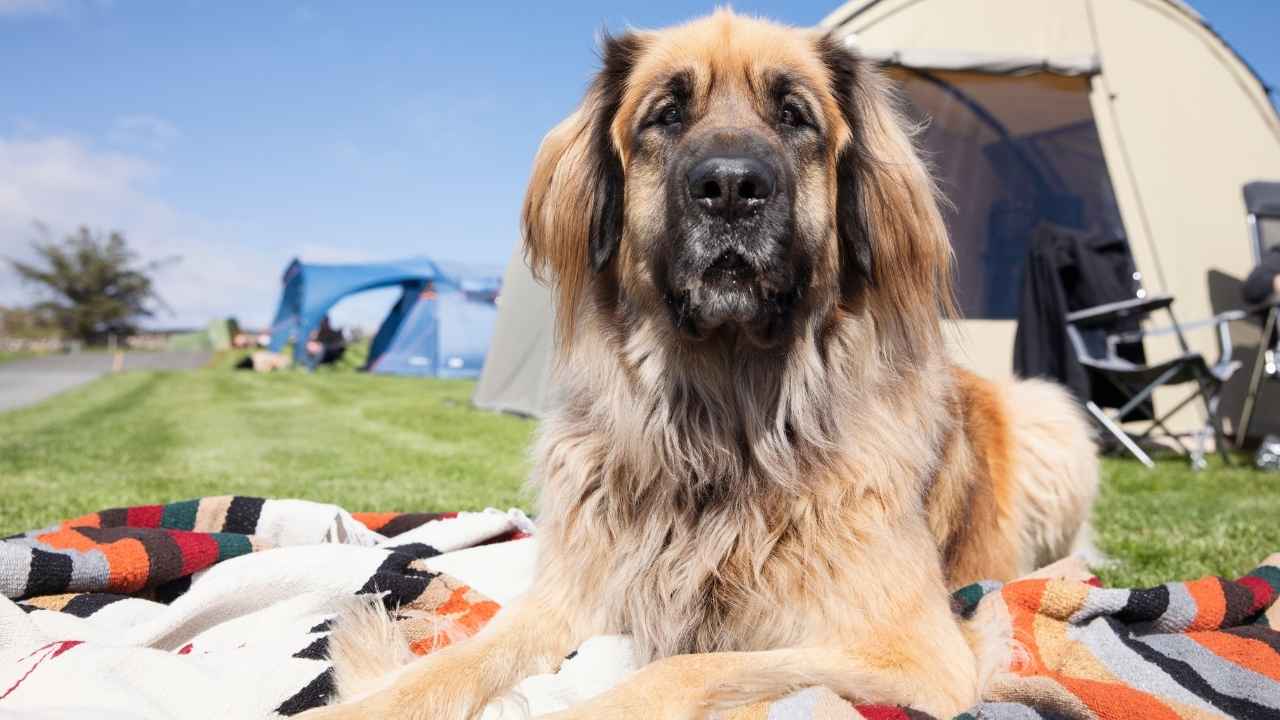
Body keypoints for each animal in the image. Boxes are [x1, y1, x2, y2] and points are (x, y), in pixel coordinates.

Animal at [302, 11, 1100, 717]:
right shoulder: (571, 594)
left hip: (1049, 411)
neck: (722, 422)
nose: (731, 188)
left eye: (794, 116)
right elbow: (459, 661)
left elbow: (683, 668)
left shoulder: (913, 654)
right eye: (666, 116)